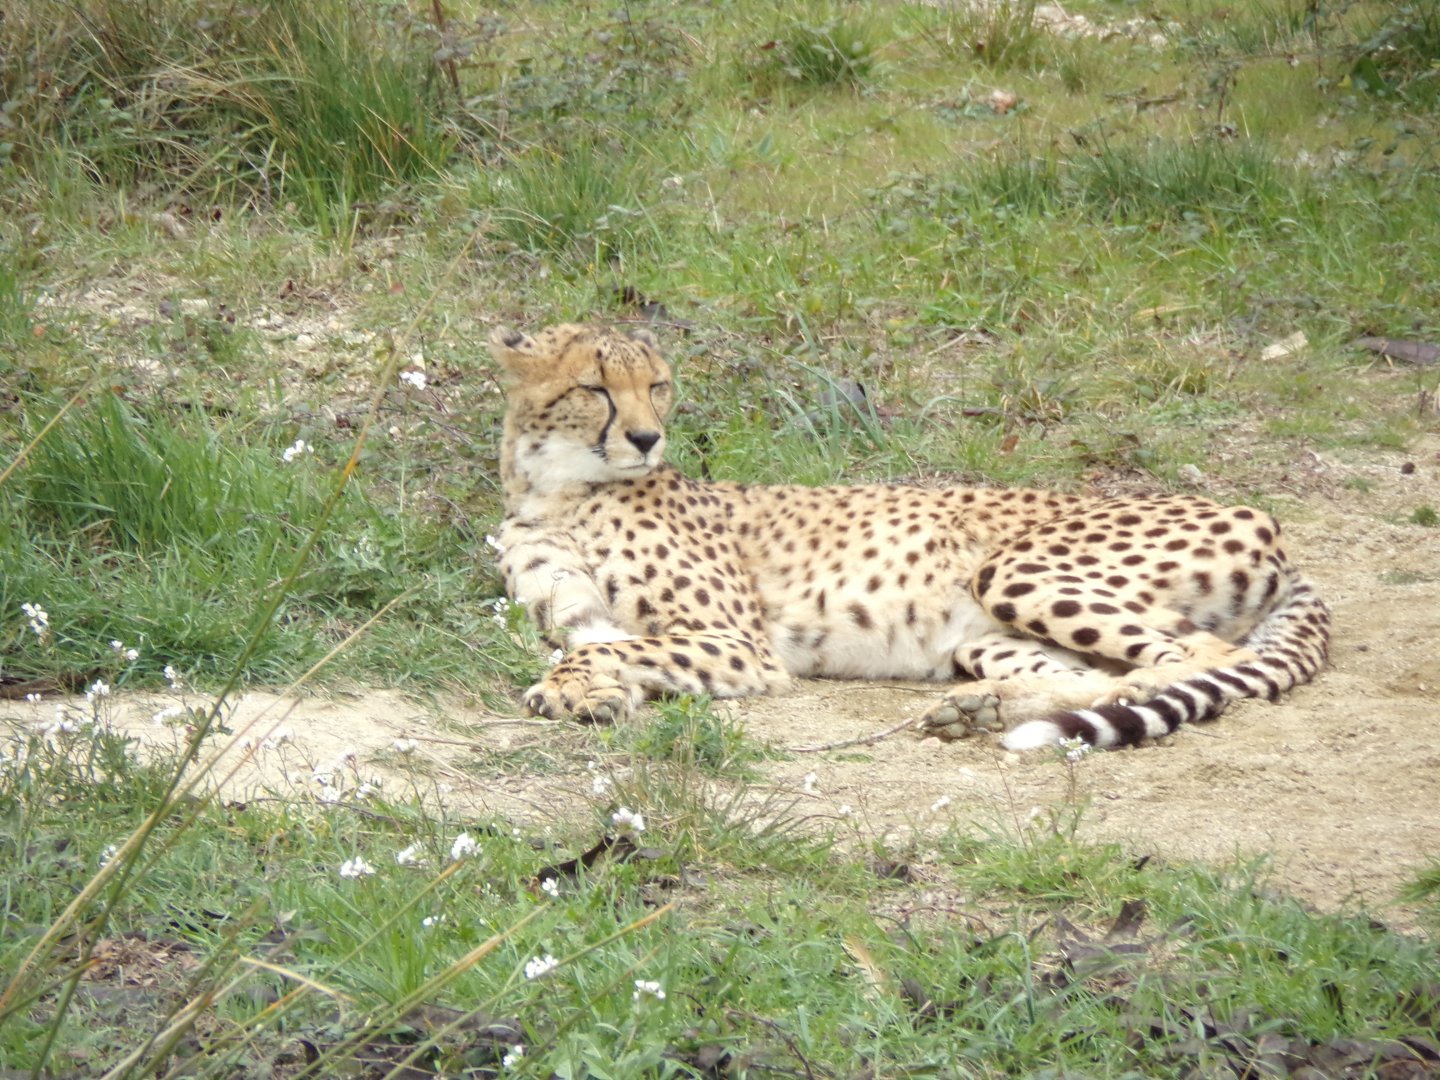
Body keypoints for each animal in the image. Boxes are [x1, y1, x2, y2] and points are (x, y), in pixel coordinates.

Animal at [488, 323, 1329, 750]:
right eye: (595, 387)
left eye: (656, 384)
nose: (646, 437)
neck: (554, 488)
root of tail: (1273, 526)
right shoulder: (585, 619)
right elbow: (592, 645)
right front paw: (598, 692)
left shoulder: (739, 641)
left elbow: (598, 653)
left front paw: (572, 690)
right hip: (979, 638)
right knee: (1100, 677)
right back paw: (982, 711)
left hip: (1014, 569)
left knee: (1202, 656)